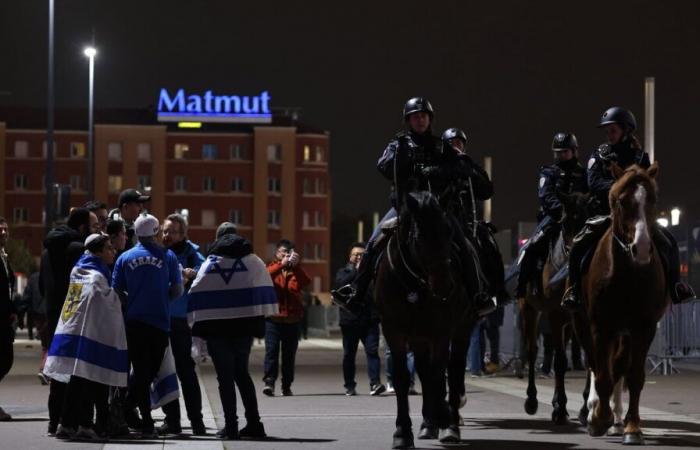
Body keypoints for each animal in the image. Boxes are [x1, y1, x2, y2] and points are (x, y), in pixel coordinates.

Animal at [372, 191, 470, 450]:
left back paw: (449, 422)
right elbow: (403, 378)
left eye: (449, 231)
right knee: (425, 371)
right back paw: (429, 423)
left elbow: (438, 376)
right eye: (419, 236)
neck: (414, 283)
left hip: (462, 328)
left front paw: (446, 418)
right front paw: (402, 433)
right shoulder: (393, 330)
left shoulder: (441, 332)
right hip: (418, 336)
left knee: (453, 369)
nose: (445, 286)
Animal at [520, 191, 592, 426]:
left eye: (587, 220)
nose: (575, 251)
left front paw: (585, 410)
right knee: (532, 351)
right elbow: (560, 361)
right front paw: (560, 408)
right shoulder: (555, 315)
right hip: (529, 309)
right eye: (565, 221)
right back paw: (532, 401)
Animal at [576, 163, 668, 444]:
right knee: (595, 365)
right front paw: (598, 418)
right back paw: (595, 411)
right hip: (583, 324)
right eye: (620, 201)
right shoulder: (600, 326)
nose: (642, 248)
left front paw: (632, 427)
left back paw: (616, 418)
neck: (629, 273)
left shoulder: (643, 328)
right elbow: (602, 374)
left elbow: (634, 376)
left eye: (652, 200)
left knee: (616, 366)